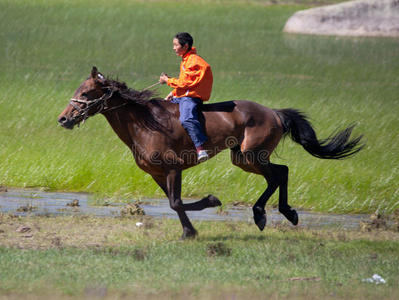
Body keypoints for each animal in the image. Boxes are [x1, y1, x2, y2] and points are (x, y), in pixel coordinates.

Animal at [58, 66, 362, 239]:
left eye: (86, 93)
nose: (63, 119)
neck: (144, 122)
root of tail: (274, 112)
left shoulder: (173, 168)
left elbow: (176, 203)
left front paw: (208, 205)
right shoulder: (157, 174)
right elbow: (175, 203)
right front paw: (189, 230)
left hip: (252, 155)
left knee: (277, 176)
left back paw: (264, 214)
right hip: (243, 158)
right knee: (280, 173)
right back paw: (281, 213)